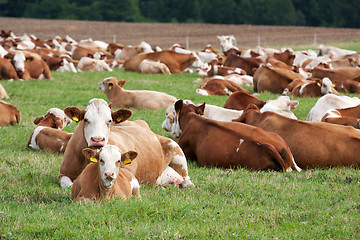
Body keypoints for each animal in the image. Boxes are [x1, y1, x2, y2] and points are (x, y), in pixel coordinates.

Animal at [59, 98, 194, 188]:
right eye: (86, 119)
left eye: (109, 120)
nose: (97, 139)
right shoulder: (63, 174)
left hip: (177, 151)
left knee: (187, 179)